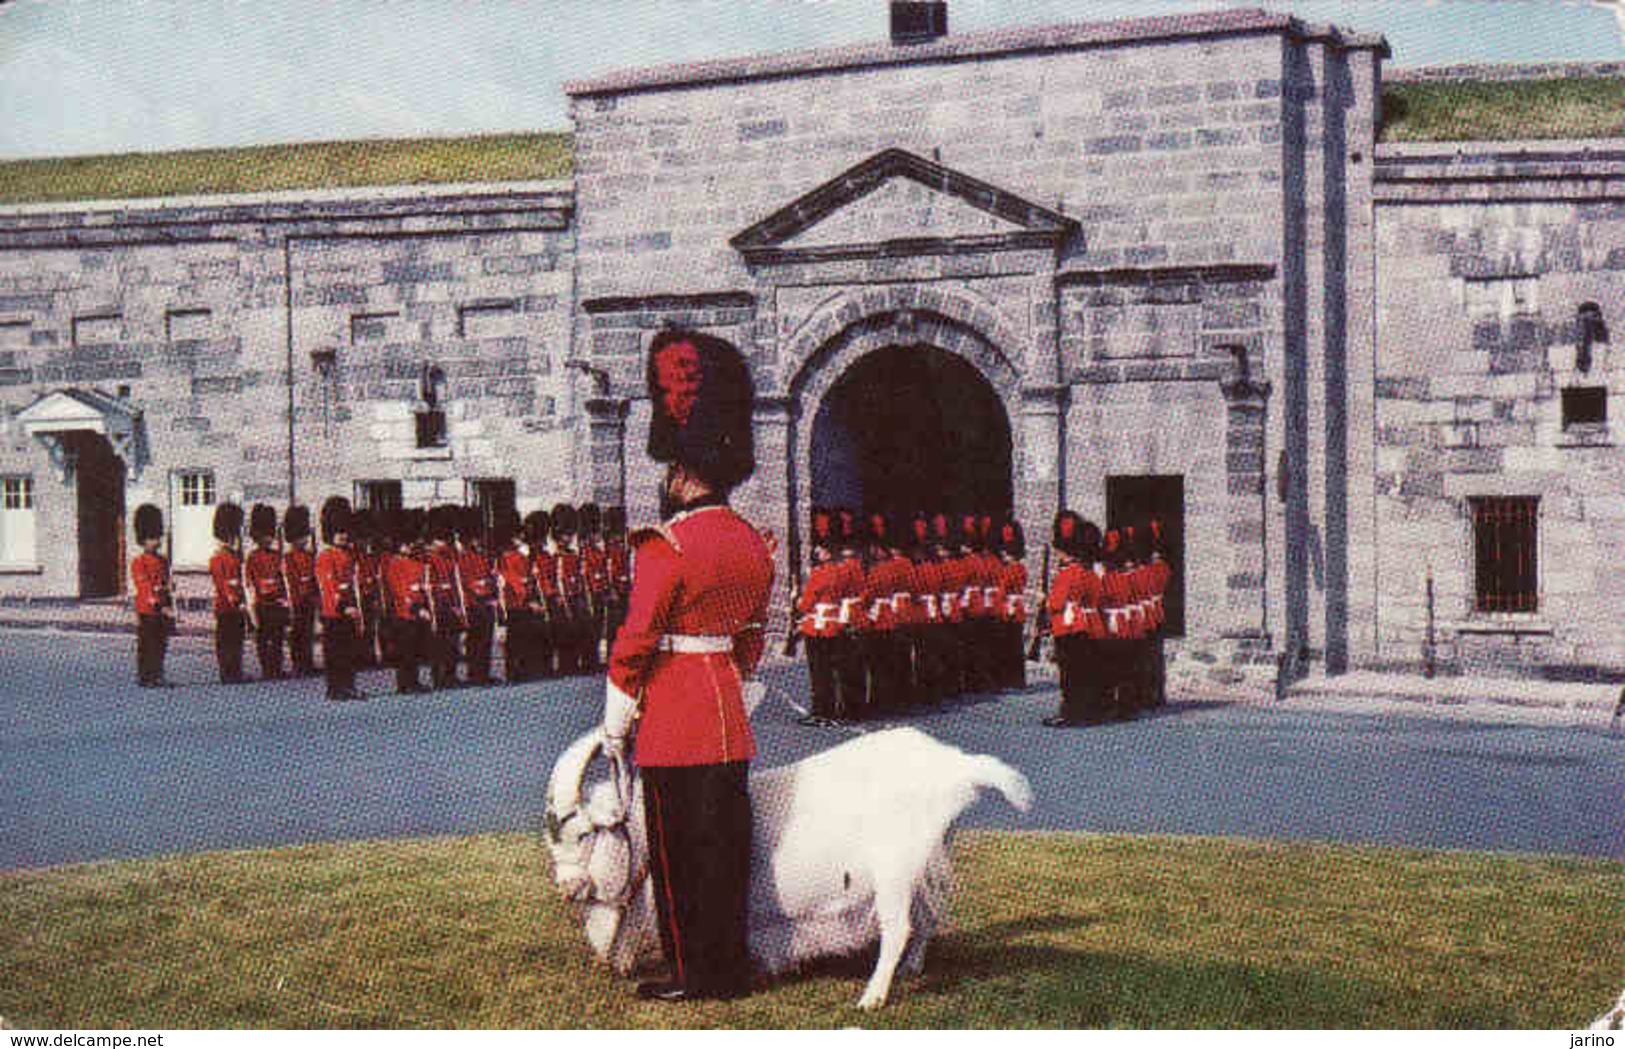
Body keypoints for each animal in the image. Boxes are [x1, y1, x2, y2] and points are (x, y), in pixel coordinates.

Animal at [542, 730, 1027, 1013]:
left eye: (583, 834)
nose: (567, 888)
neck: (644, 831)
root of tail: (958, 767)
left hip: (894, 866)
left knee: (898, 926)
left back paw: (872, 997)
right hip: (925, 860)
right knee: (926, 917)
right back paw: (911, 970)